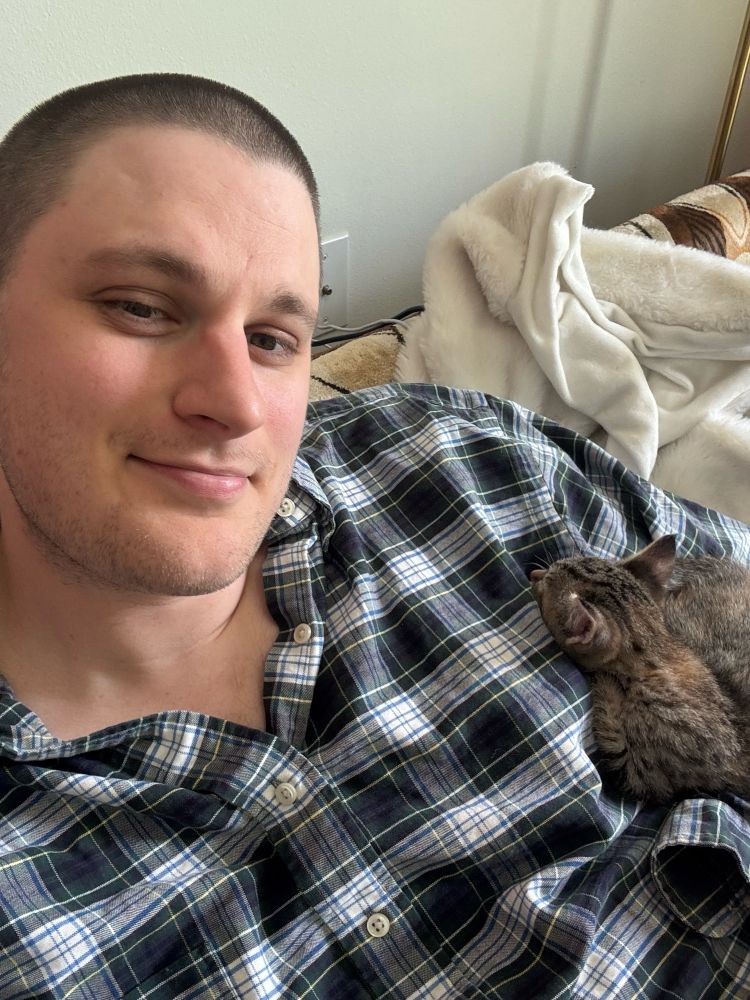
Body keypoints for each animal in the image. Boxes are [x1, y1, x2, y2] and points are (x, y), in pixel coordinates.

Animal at [529, 535, 750, 804]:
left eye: (542, 590)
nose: (533, 573)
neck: (659, 650)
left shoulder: (645, 775)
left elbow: (615, 738)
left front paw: (605, 682)